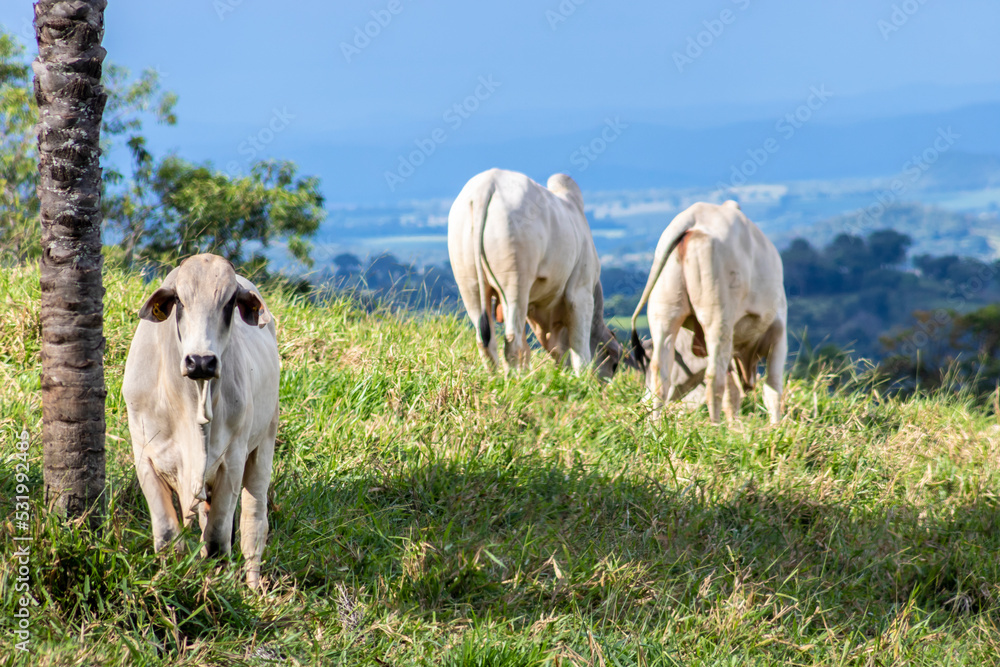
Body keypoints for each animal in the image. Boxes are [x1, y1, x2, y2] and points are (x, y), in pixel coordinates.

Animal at [122, 254, 280, 589]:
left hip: (264, 442)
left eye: (230, 302)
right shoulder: (145, 455)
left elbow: (218, 541)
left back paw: (253, 589)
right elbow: (168, 535)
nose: (201, 361)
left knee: (253, 524)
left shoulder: (232, 460)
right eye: (180, 300)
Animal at [448, 168, 625, 378]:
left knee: (485, 340)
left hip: (469, 283)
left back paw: (496, 379)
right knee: (512, 340)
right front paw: (581, 379)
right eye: (614, 364)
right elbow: (580, 350)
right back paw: (516, 380)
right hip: (515, 283)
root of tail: (487, 183)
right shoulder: (581, 293)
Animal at [629, 201, 787, 423]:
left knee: (661, 372)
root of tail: (697, 215)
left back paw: (655, 424)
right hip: (718, 319)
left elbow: (733, 393)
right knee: (714, 377)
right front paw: (776, 426)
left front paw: (735, 425)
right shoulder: (778, 331)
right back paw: (715, 425)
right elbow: (772, 388)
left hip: (665, 315)